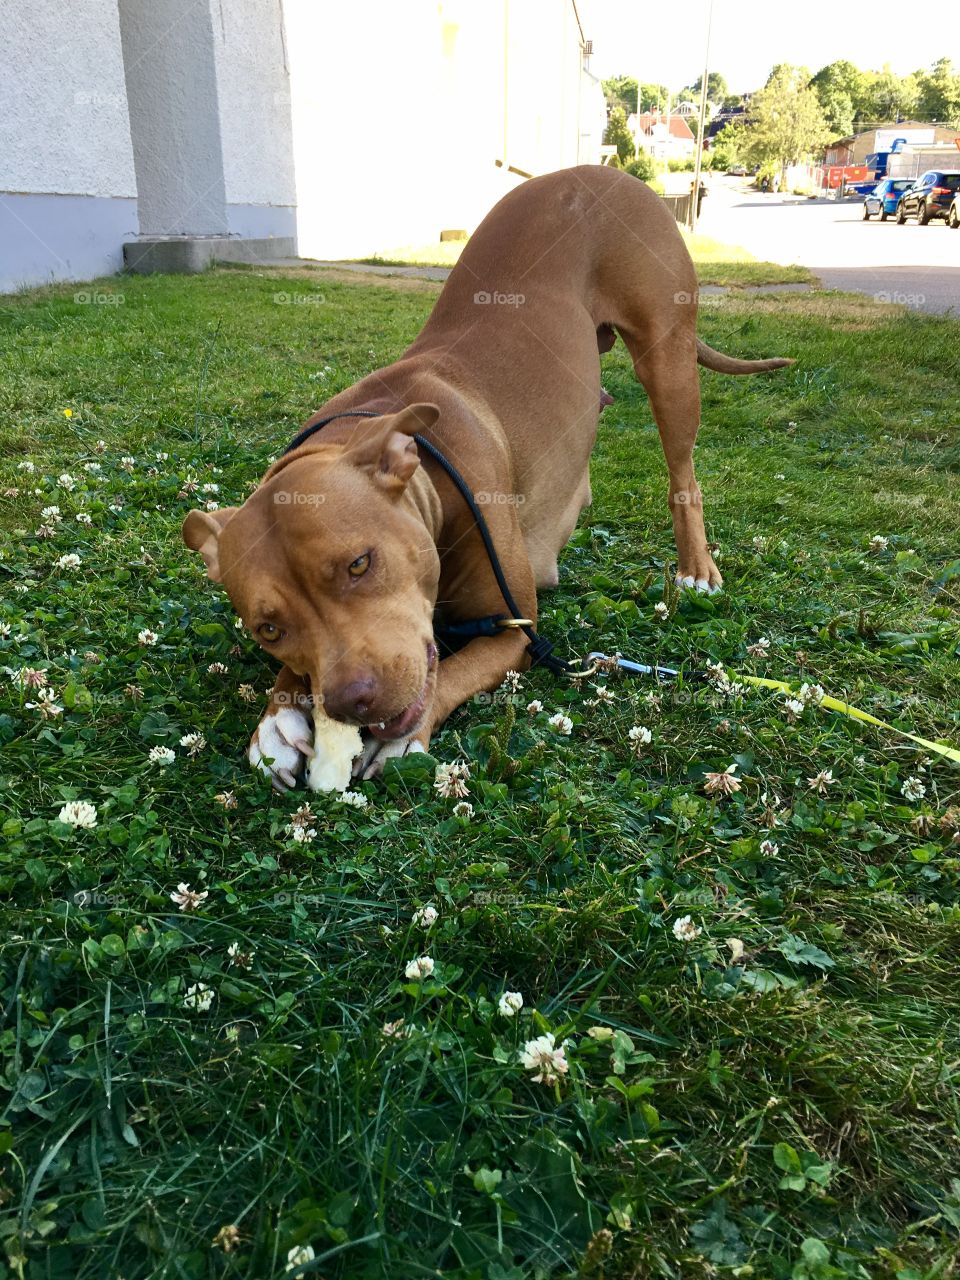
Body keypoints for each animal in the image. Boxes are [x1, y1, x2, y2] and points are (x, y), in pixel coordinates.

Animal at [184, 160, 793, 778]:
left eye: (360, 563)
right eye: (269, 629)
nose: (353, 701)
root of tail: (600, 170)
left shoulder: (514, 632)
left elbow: (451, 672)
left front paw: (403, 734)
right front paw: (278, 716)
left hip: (668, 357)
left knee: (683, 472)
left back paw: (696, 567)